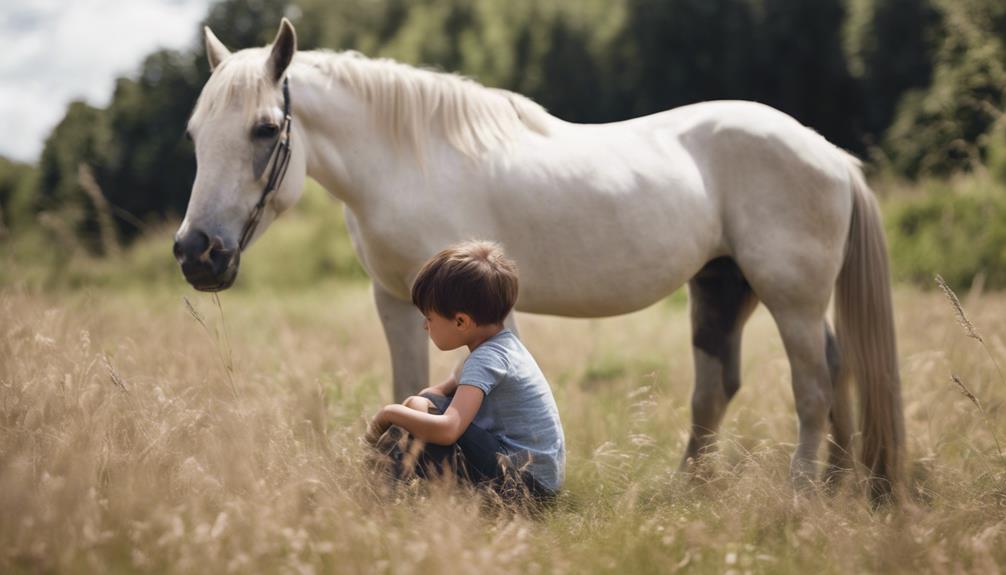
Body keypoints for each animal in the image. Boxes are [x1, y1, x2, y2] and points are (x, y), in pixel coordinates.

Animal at [177, 20, 909, 500]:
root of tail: (827, 153)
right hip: (724, 289)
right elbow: (405, 392)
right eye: (194, 134)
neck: (411, 160)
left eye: (264, 129)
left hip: (791, 298)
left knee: (813, 387)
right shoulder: (395, 302)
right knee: (750, 386)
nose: (195, 252)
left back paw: (803, 492)